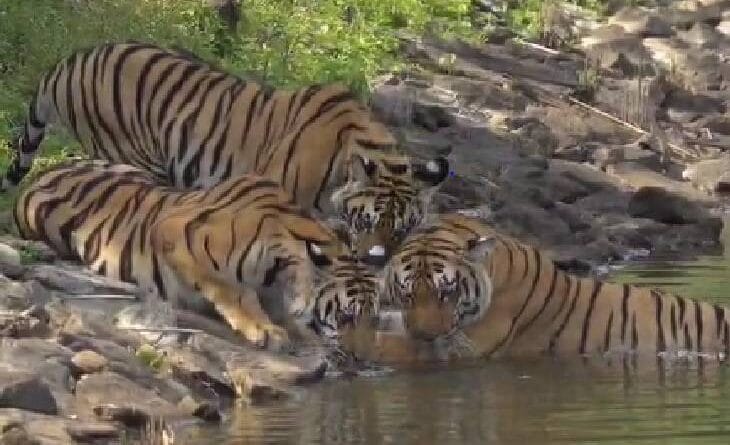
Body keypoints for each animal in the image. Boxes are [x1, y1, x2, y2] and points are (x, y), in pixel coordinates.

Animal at [14, 160, 385, 350]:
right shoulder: (173, 231)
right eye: (347, 317)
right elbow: (232, 288)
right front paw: (261, 328)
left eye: (374, 320)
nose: (362, 358)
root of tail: (42, 171)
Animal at [351, 213, 730, 363]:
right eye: (407, 294)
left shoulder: (463, 348)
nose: (426, 335)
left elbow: (393, 346)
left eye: (448, 292)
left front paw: (357, 339)